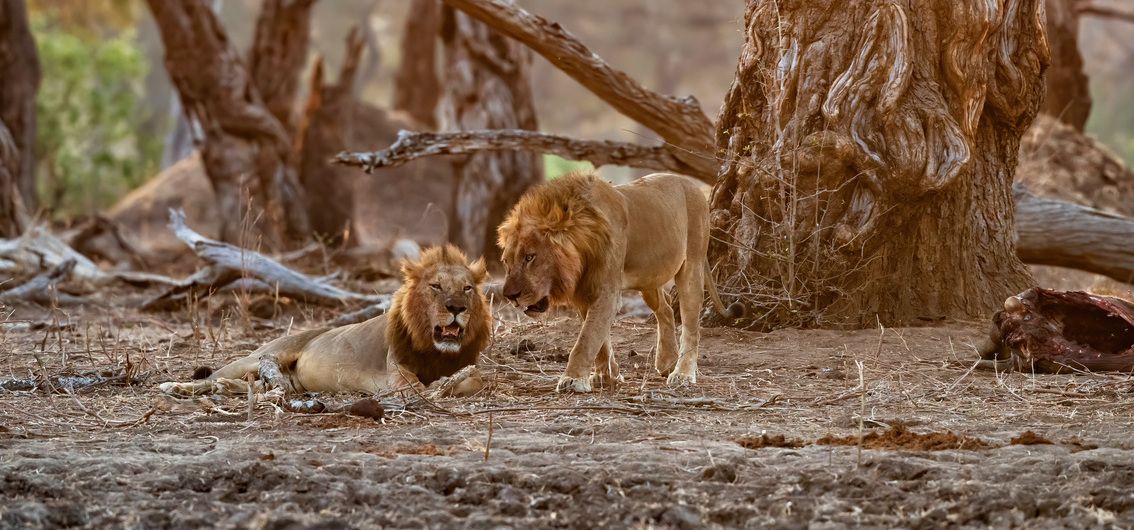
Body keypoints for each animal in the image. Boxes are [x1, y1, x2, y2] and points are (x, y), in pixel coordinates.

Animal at [158, 244, 491, 397]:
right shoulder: (394, 372)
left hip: (286, 382)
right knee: (212, 377)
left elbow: (472, 379)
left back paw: (223, 389)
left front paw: (446, 383)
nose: (457, 307)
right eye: (435, 286)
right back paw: (175, 386)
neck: (435, 350)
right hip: (259, 357)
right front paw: (434, 386)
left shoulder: (468, 366)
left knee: (251, 385)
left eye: (467, 288)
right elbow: (412, 386)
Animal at [497, 171, 740, 393]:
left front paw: (573, 379)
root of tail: (691, 184)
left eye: (530, 257)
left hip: (692, 264)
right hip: (649, 278)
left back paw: (683, 373)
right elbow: (598, 339)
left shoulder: (607, 292)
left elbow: (586, 339)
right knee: (666, 308)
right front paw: (606, 376)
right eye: (506, 261)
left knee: (691, 325)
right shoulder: (584, 292)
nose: (510, 296)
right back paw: (667, 362)